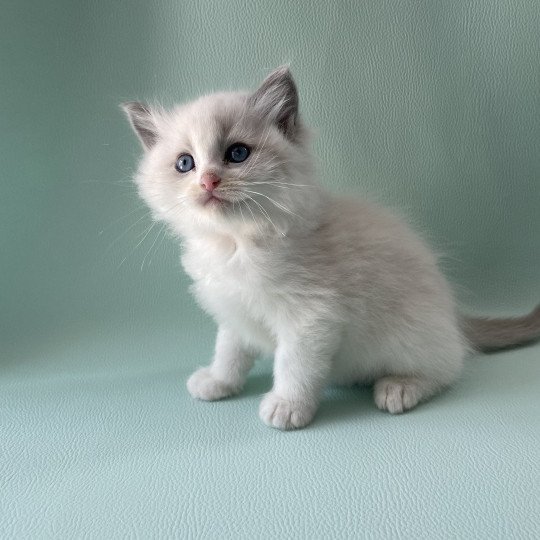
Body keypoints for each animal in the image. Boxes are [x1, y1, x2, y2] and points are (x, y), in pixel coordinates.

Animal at [122, 67, 540, 430]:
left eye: (237, 154)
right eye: (185, 164)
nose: (208, 181)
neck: (237, 242)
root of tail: (455, 318)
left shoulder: (311, 317)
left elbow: (294, 366)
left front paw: (287, 406)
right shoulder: (235, 310)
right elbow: (230, 351)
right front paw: (217, 382)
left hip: (410, 334)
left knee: (448, 367)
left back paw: (399, 387)